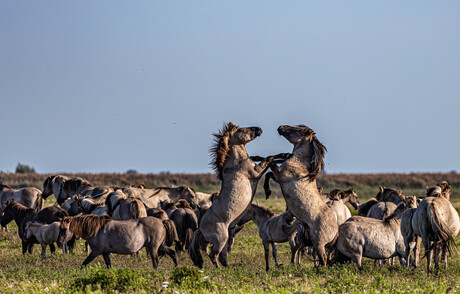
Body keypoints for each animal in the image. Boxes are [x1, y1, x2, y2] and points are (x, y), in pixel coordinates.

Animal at [187, 120, 284, 268]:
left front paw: (283, 157)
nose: (259, 129)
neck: (235, 162)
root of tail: (201, 229)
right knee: (213, 255)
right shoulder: (256, 172)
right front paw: (284, 155)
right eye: (240, 130)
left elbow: (263, 158)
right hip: (222, 239)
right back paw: (219, 269)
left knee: (222, 256)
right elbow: (268, 158)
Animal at [262, 124, 338, 266]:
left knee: (323, 259)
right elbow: (269, 173)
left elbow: (270, 163)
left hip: (319, 244)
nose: (280, 127)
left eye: (298, 130)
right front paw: (267, 190)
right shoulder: (279, 177)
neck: (300, 162)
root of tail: (336, 231)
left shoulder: (280, 174)